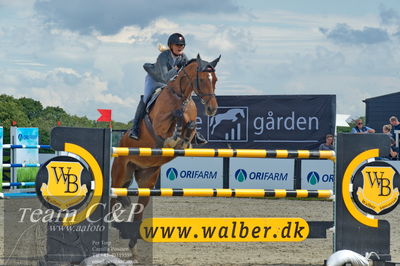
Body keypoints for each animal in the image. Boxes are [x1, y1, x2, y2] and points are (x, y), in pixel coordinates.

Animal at [111, 53, 220, 260]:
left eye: (215, 80)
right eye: (202, 79)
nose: (212, 109)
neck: (181, 97)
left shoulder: (190, 123)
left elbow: (190, 125)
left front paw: (182, 139)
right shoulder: (160, 125)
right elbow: (176, 117)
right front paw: (174, 137)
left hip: (147, 178)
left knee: (138, 211)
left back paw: (133, 248)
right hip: (121, 173)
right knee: (113, 197)